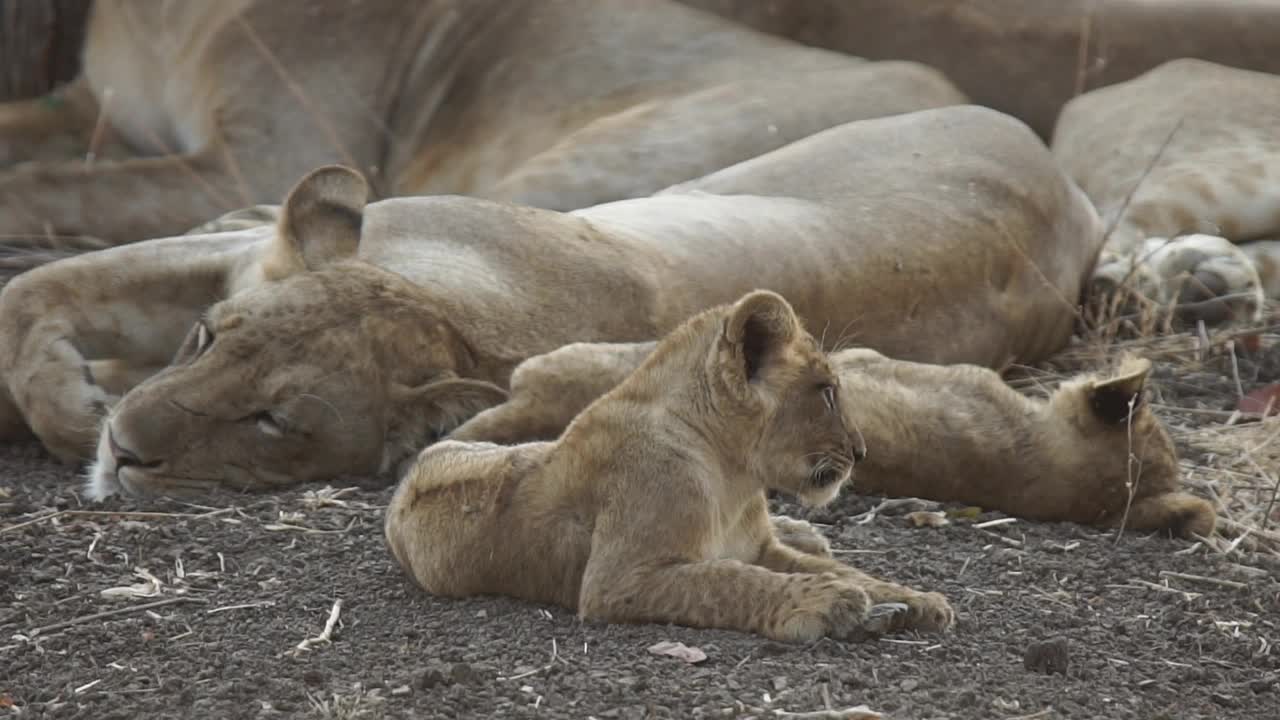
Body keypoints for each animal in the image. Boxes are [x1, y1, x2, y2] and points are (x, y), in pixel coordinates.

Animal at [0, 106, 1100, 497]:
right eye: (205, 340)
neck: (447, 310)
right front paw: (77, 402)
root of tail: (1060, 175)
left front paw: (80, 416)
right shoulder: (223, 267)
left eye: (272, 422)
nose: (125, 447)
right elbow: (33, 288)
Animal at [384, 286, 957, 638]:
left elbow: (842, 568)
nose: (861, 451)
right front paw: (827, 603)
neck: (733, 477)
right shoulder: (617, 582)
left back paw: (807, 531)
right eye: (827, 392)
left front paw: (915, 599)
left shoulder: (761, 546)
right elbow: (729, 581)